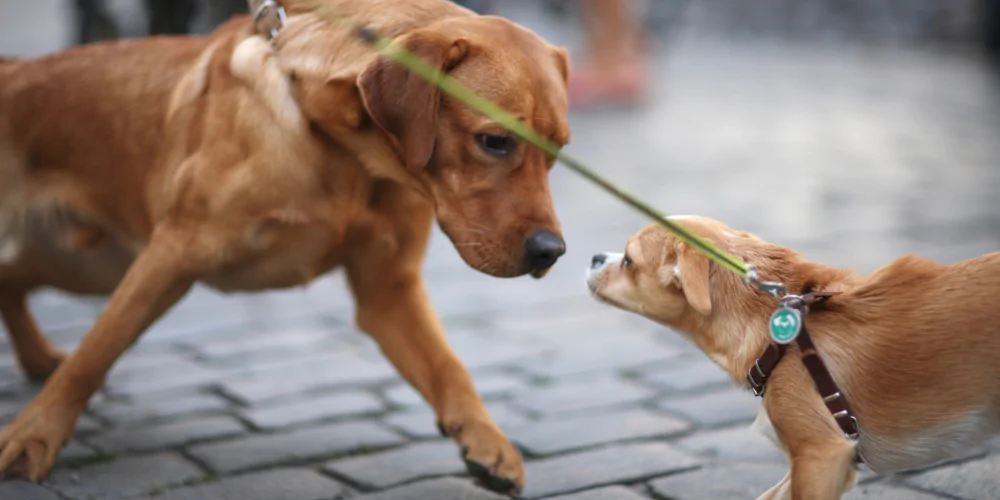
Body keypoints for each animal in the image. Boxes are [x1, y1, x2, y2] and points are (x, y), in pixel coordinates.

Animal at [0, 0, 568, 492]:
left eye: (558, 152)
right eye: (495, 141)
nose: (553, 252)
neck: (347, 155)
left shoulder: (389, 292)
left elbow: (451, 367)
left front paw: (486, 440)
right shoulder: (172, 253)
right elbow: (94, 354)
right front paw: (31, 439)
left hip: (87, 263)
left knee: (13, 279)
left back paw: (36, 357)